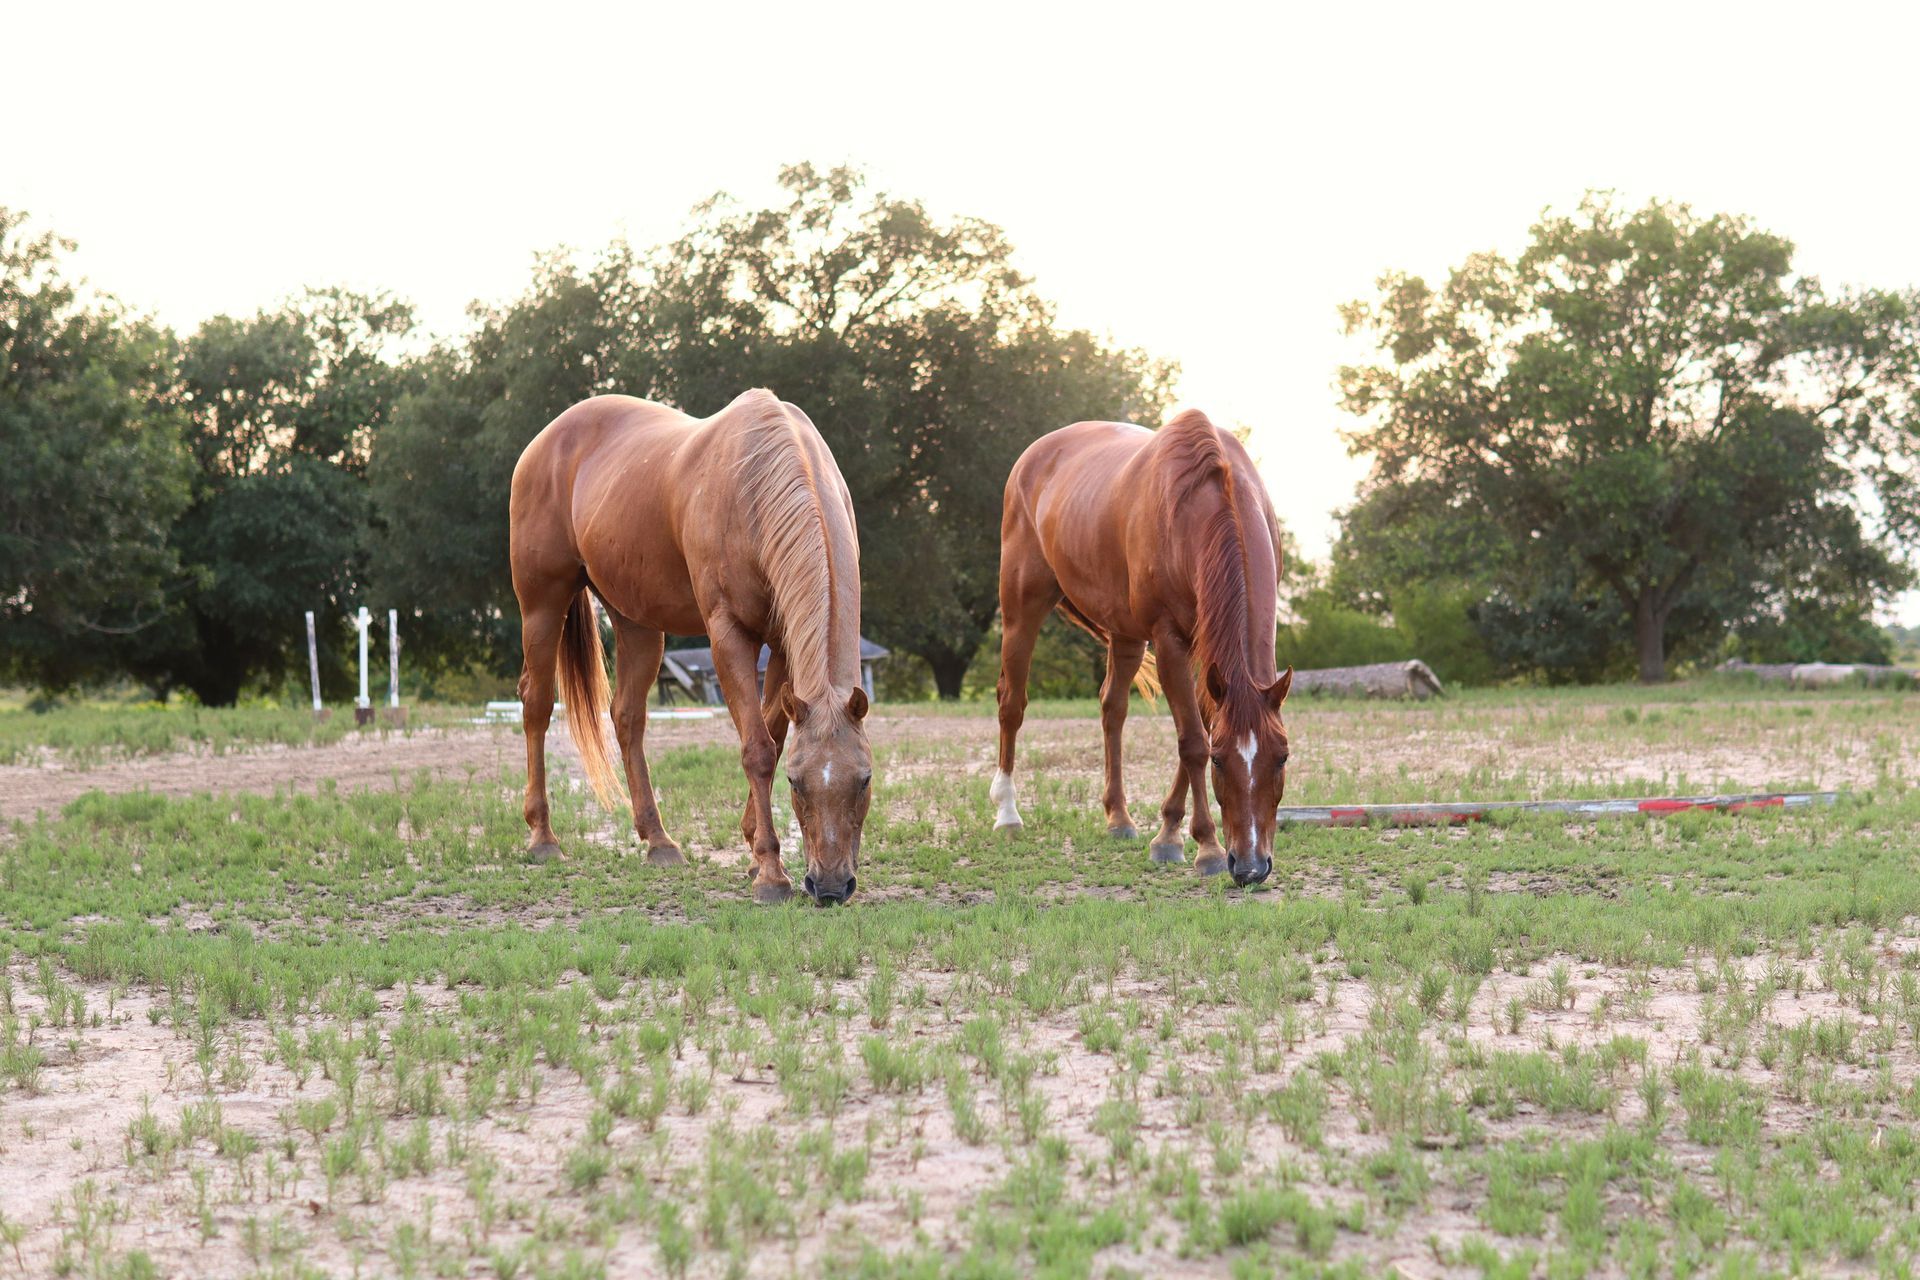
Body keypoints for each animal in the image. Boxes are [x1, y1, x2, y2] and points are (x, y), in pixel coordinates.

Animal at [508, 389, 872, 905]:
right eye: (796, 784)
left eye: (863, 780)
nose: (830, 886)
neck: (756, 479)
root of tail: (544, 440)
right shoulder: (729, 635)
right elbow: (757, 749)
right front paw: (770, 872)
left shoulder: (781, 644)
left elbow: (775, 735)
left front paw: (752, 848)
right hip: (542, 605)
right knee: (537, 706)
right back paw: (543, 837)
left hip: (638, 624)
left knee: (627, 718)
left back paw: (658, 840)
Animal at [991, 409, 1292, 887]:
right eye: (1220, 763)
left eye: (1282, 758)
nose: (1249, 866)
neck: (1203, 502)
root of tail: (1034, 455)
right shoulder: (1170, 641)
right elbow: (1193, 741)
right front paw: (1204, 846)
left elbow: (1199, 728)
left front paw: (1169, 832)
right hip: (1023, 608)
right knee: (1012, 704)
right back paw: (1007, 812)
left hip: (1125, 632)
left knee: (1112, 708)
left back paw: (1118, 817)